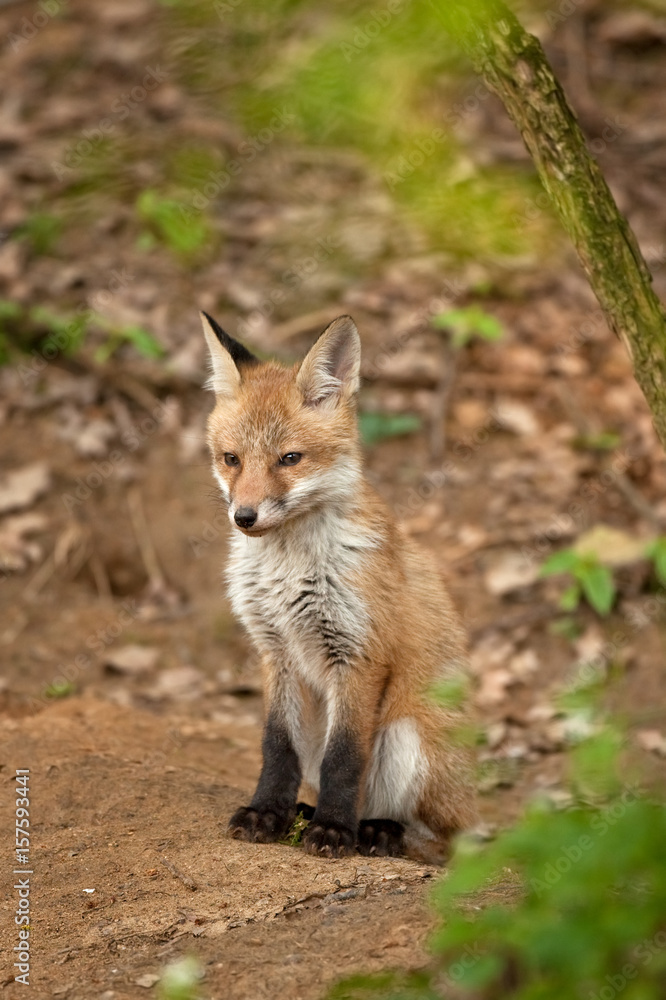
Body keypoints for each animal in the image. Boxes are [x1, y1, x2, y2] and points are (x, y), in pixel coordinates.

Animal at [200, 308, 474, 856]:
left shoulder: (360, 652)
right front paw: (267, 813)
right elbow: (276, 748)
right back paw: (304, 812)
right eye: (231, 459)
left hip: (406, 735)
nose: (245, 517)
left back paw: (374, 830)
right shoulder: (276, 651)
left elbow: (344, 757)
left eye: (290, 459)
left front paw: (332, 828)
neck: (287, 570)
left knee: (428, 835)